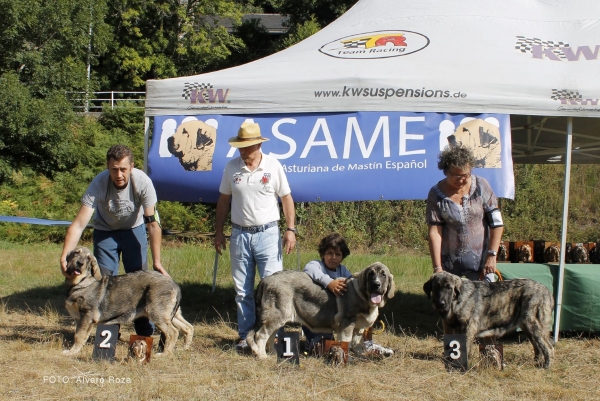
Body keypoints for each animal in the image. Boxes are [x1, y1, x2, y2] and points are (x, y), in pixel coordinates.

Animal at [61, 245, 192, 354]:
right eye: (76, 253)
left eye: (88, 258)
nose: (80, 263)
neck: (79, 283)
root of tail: (174, 284)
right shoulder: (80, 319)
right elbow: (80, 335)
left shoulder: (86, 315)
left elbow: (79, 336)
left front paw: (71, 352)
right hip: (171, 314)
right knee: (188, 327)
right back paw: (184, 348)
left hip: (157, 314)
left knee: (173, 332)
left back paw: (164, 353)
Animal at [246, 260, 396, 358]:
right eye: (371, 274)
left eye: (383, 275)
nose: (376, 285)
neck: (363, 296)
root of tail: (265, 280)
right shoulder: (346, 324)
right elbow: (346, 342)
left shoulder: (358, 329)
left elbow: (357, 344)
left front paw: (361, 355)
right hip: (276, 316)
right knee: (260, 335)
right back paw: (262, 356)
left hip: (278, 318)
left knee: (270, 336)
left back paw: (273, 353)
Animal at [422, 270, 552, 368]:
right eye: (436, 287)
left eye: (449, 288)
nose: (441, 303)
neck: (457, 300)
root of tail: (546, 290)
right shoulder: (453, 329)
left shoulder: (468, 329)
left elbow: (464, 348)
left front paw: (461, 365)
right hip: (527, 327)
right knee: (537, 346)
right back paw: (536, 362)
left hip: (533, 325)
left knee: (548, 347)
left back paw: (546, 366)